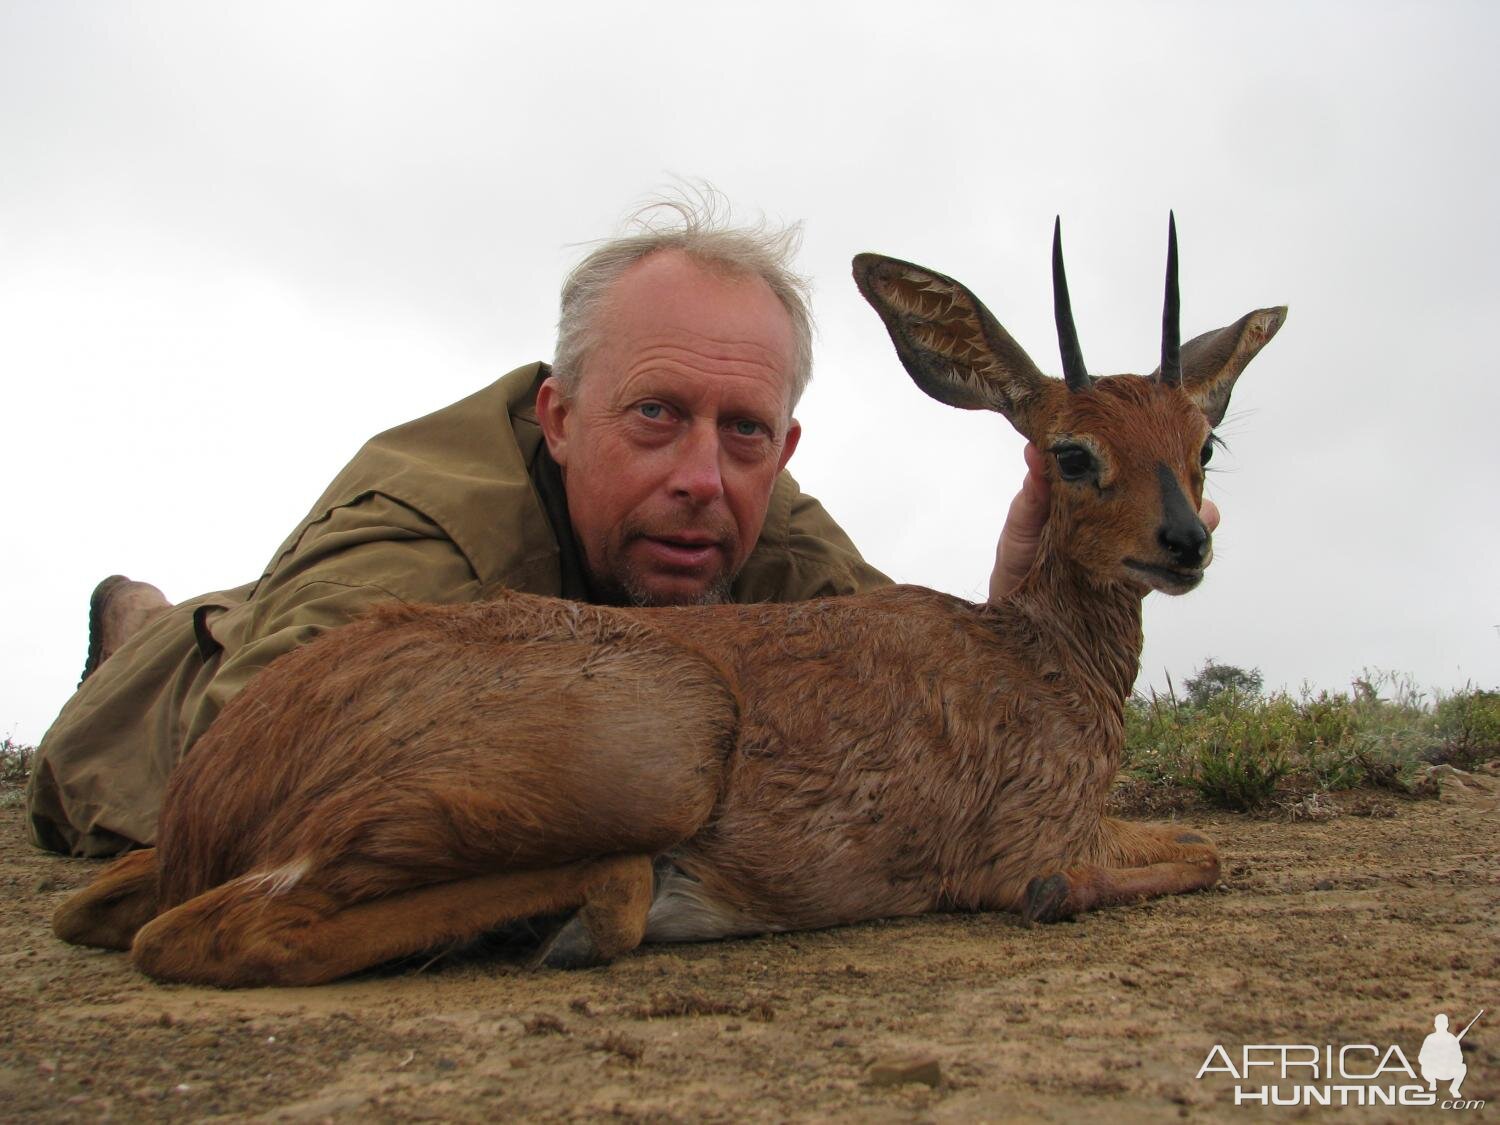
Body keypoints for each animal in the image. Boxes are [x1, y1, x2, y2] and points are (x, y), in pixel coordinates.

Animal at [52, 213, 1284, 984]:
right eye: (1071, 454)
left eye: (1203, 443)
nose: (1184, 542)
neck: (1038, 661)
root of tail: (219, 778)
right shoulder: (1030, 840)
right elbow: (1195, 854)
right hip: (652, 751)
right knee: (213, 931)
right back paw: (592, 913)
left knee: (104, 906)